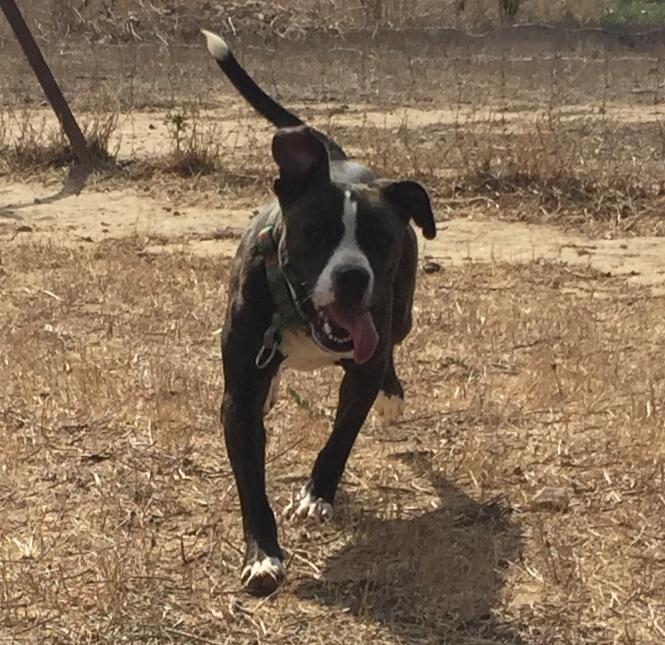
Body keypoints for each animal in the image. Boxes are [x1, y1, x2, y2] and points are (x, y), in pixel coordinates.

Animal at [201, 29, 437, 596]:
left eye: (381, 239)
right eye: (317, 232)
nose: (353, 276)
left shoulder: (362, 368)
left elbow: (340, 437)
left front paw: (316, 494)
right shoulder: (238, 397)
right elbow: (251, 481)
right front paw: (262, 557)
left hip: (400, 314)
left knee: (392, 346)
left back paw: (393, 396)